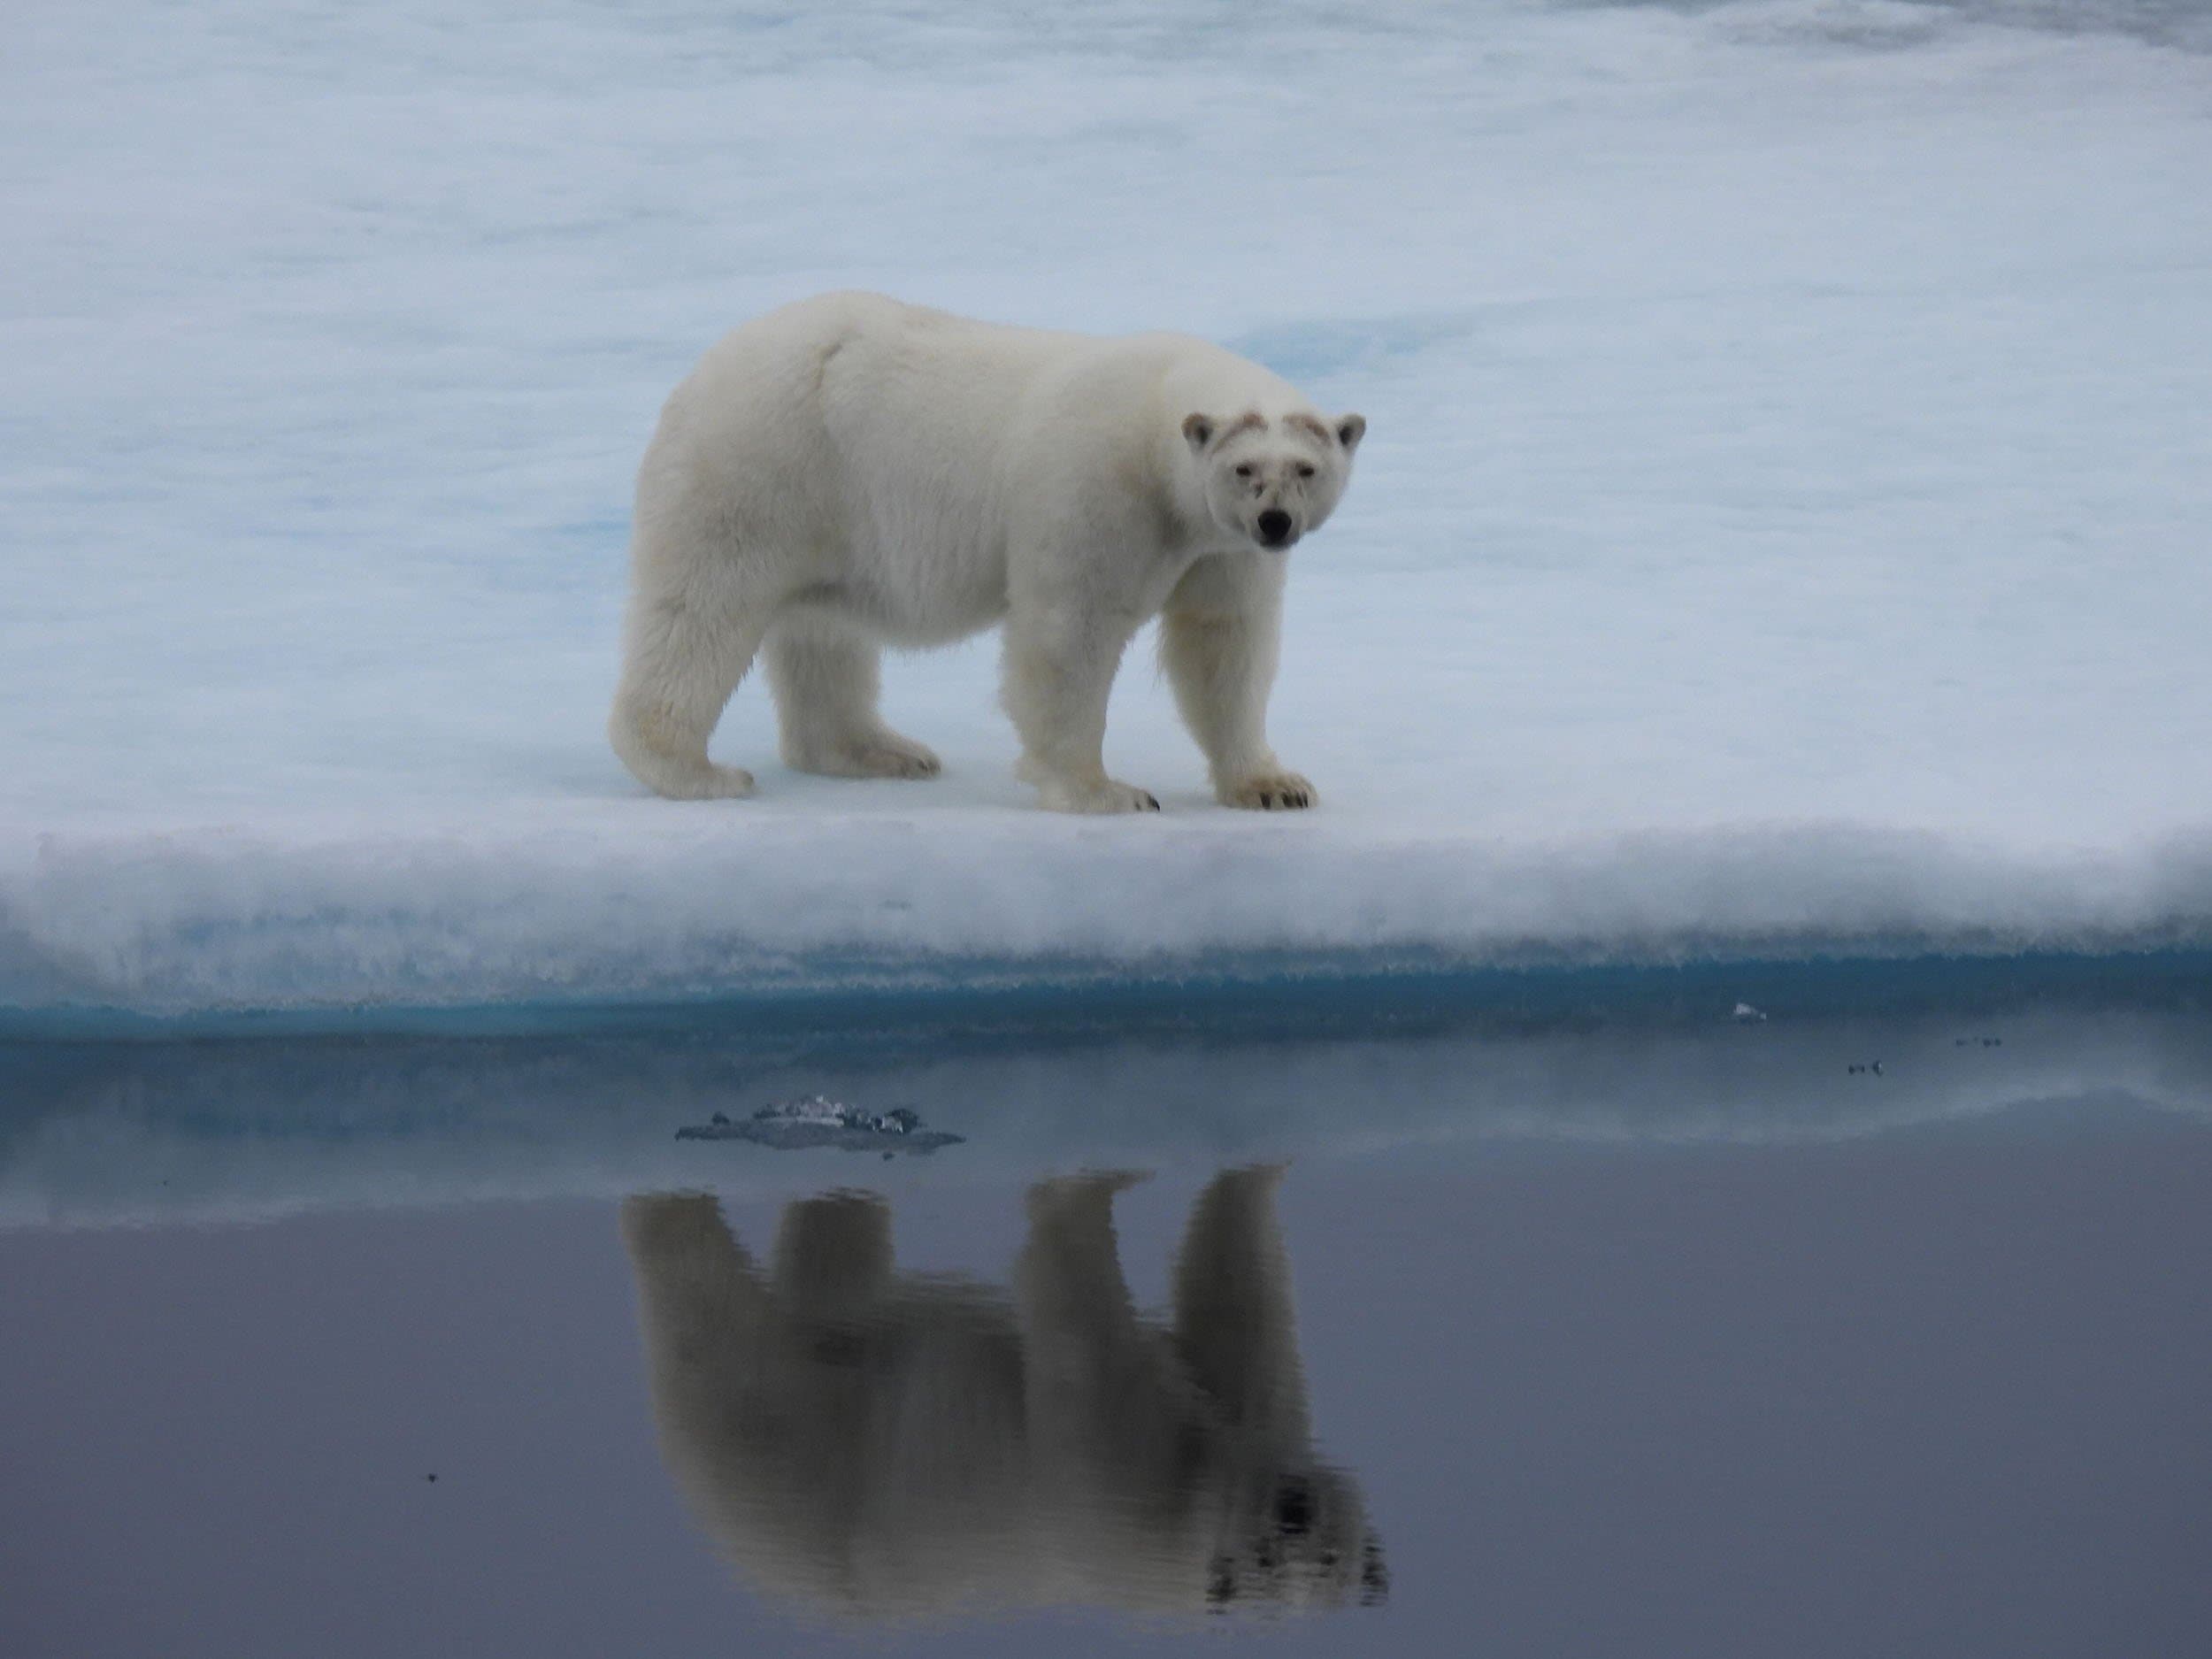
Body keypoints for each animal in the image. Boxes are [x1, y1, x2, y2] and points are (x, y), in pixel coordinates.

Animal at [608, 292, 1365, 813]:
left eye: (1305, 467)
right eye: (1245, 468)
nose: (1276, 522)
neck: (1156, 422)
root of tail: (702, 369)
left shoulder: (1219, 547)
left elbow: (1222, 644)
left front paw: (1275, 785)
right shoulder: (1097, 489)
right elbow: (1070, 634)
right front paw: (1106, 791)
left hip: (824, 514)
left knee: (823, 632)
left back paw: (880, 749)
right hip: (758, 470)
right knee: (702, 611)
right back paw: (694, 770)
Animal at [618, 1167, 1387, 1621]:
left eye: (1328, 1561)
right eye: (1264, 1564)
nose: (1293, 1510)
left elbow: (1232, 1302)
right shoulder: (1126, 1500)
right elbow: (1077, 1313)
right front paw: (1097, 1177)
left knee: (831, 1262)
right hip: (787, 1464)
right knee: (710, 1314)